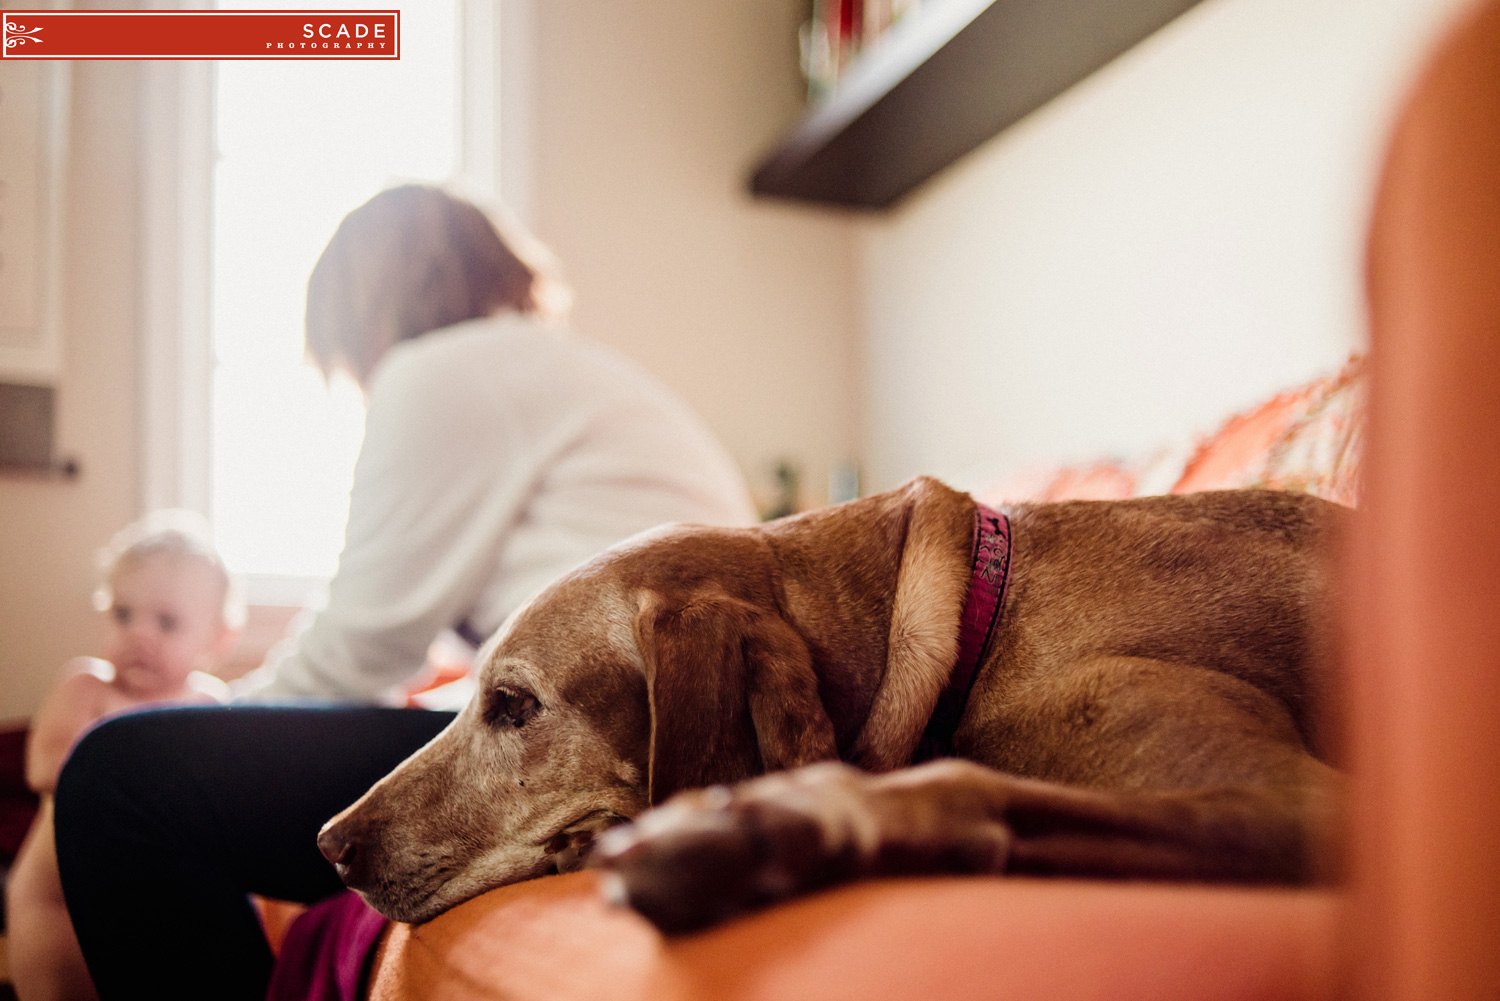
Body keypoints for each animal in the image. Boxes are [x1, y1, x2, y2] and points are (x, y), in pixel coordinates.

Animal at [319, 477, 1350, 930]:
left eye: (512, 703)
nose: (329, 844)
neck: (982, 620)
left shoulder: (1294, 804)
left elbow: (970, 786)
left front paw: (756, 829)